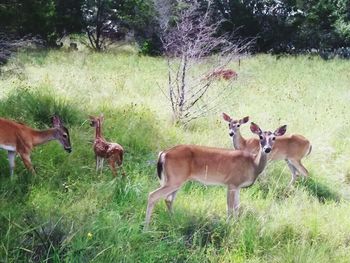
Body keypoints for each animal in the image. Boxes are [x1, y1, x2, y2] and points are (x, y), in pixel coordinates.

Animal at [144, 122, 286, 230]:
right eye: (260, 137)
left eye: (274, 138)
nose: (267, 149)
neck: (253, 164)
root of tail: (163, 153)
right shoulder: (231, 183)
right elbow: (230, 207)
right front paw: (229, 225)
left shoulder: (238, 186)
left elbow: (237, 207)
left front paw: (237, 225)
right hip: (175, 179)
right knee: (152, 195)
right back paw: (146, 228)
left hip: (175, 180)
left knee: (168, 199)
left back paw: (173, 221)